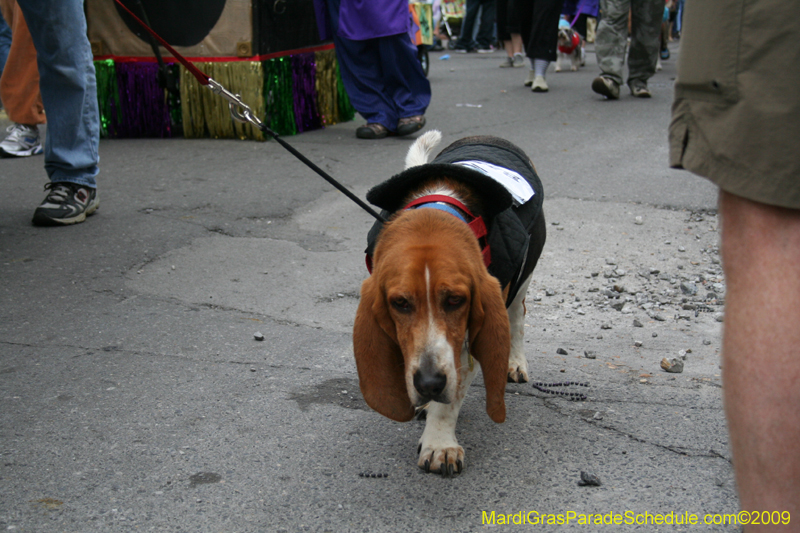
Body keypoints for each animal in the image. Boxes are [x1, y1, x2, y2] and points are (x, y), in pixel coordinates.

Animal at [354, 131, 548, 476]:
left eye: (456, 300)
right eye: (400, 302)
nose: (429, 383)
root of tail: (489, 136)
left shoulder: (467, 336)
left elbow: (452, 399)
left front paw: (439, 444)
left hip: (523, 279)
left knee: (517, 319)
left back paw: (514, 362)